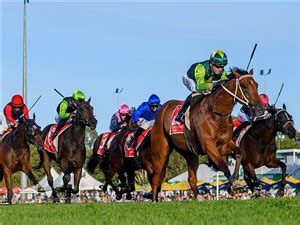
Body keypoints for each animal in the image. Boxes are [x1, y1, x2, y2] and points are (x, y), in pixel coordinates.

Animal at [150, 67, 264, 201]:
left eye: (256, 85)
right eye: (244, 86)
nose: (261, 108)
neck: (217, 114)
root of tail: (163, 108)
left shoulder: (224, 145)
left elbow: (239, 153)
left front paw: (234, 182)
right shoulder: (209, 145)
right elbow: (222, 164)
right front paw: (233, 184)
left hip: (190, 153)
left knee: (191, 178)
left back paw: (198, 198)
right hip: (161, 152)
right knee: (156, 177)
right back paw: (154, 200)